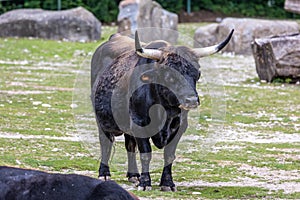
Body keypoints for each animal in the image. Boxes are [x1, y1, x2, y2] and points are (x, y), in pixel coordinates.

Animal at [91, 29, 234, 191]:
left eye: (197, 74)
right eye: (169, 76)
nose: (191, 100)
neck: (164, 110)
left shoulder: (179, 127)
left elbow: (169, 155)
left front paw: (167, 183)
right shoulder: (139, 124)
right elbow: (146, 154)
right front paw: (145, 183)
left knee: (130, 145)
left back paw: (133, 175)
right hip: (101, 120)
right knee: (106, 143)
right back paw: (104, 174)